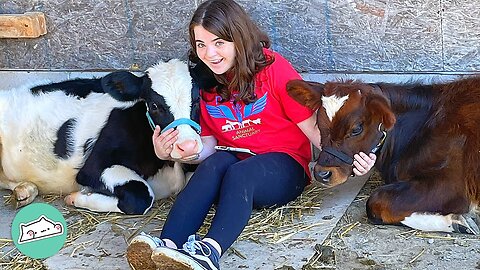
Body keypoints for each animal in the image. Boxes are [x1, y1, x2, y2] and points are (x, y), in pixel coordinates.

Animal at [0, 59, 204, 215]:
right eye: (154, 105)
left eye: (197, 99)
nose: (188, 146)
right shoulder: (91, 168)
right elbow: (141, 197)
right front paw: (77, 198)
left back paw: (25, 190)